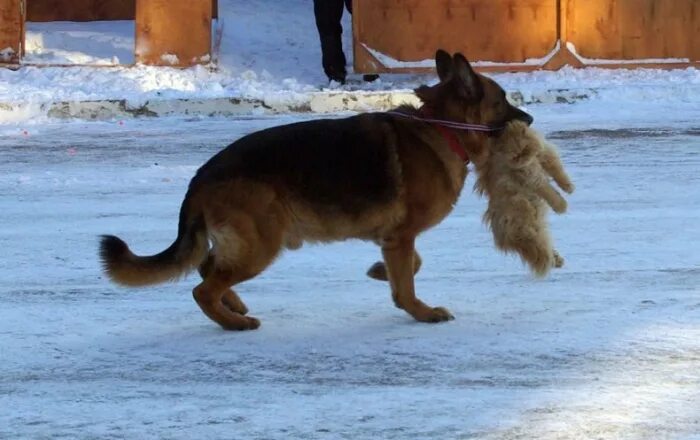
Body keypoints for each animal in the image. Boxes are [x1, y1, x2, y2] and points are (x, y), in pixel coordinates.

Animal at [100, 49, 532, 328]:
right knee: (202, 288)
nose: (529, 119)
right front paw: (421, 312)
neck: (443, 128)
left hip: (247, 244)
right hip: (261, 245)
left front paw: (382, 275)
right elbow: (409, 281)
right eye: (502, 100)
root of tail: (201, 176)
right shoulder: (401, 236)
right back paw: (233, 322)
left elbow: (410, 267)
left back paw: (234, 305)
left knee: (207, 267)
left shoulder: (394, 239)